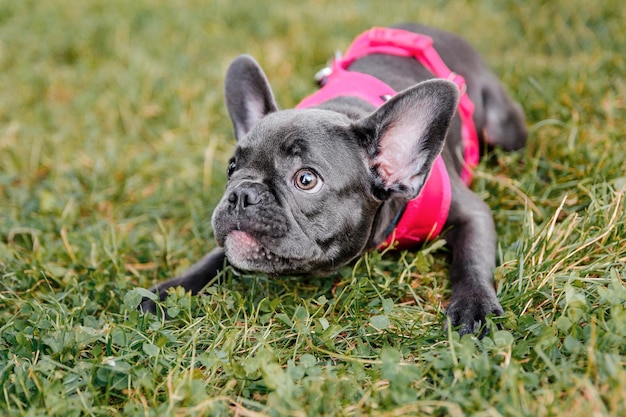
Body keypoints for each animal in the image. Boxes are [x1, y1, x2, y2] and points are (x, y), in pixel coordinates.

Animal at [139, 23, 524, 334]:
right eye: (232, 168)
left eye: (306, 180)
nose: (241, 194)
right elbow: (214, 257)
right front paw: (167, 291)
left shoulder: (472, 213)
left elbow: (471, 259)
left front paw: (473, 307)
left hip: (504, 130)